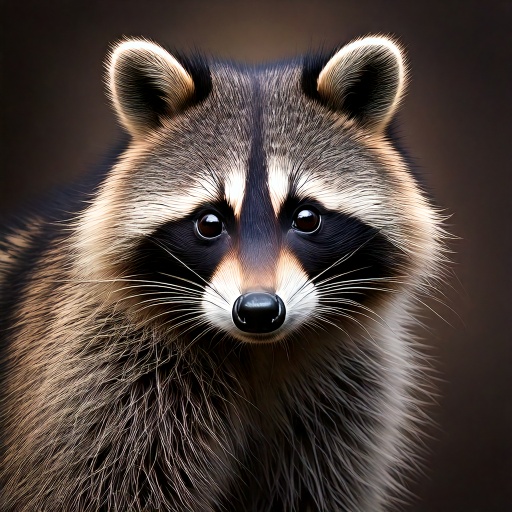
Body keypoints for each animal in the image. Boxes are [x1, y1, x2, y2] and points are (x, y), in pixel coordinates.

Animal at [0, 36, 448, 512]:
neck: (257, 352)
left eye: (306, 218)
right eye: (210, 223)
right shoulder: (104, 386)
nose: (258, 310)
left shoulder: (346, 400)